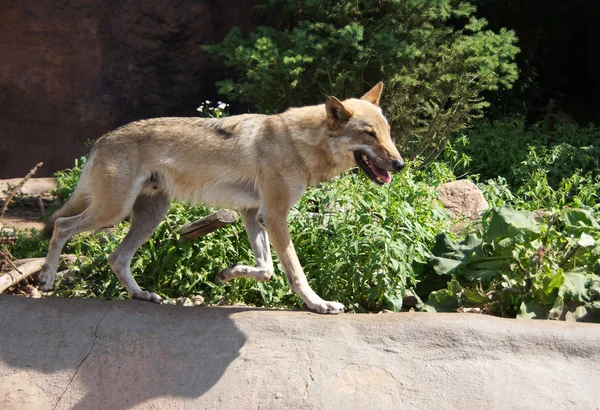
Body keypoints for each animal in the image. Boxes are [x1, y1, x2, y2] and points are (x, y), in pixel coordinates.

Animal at [39, 82, 406, 314]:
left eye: (387, 132)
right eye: (369, 135)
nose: (400, 164)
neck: (298, 143)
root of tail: (101, 140)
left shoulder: (253, 214)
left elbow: (266, 269)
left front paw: (228, 273)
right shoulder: (274, 216)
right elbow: (294, 272)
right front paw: (319, 304)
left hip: (147, 217)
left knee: (116, 258)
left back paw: (141, 295)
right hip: (112, 213)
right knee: (61, 225)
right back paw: (45, 280)